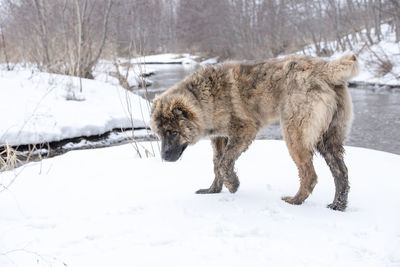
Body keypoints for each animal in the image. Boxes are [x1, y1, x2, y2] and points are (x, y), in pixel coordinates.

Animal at [150, 55, 360, 211]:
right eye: (159, 134)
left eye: (173, 133)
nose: (164, 157)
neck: (205, 97)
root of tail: (325, 69)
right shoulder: (218, 137)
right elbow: (216, 164)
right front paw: (213, 190)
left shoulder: (245, 130)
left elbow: (224, 163)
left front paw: (233, 185)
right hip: (328, 139)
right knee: (341, 173)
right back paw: (338, 205)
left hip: (295, 134)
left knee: (309, 175)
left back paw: (295, 201)